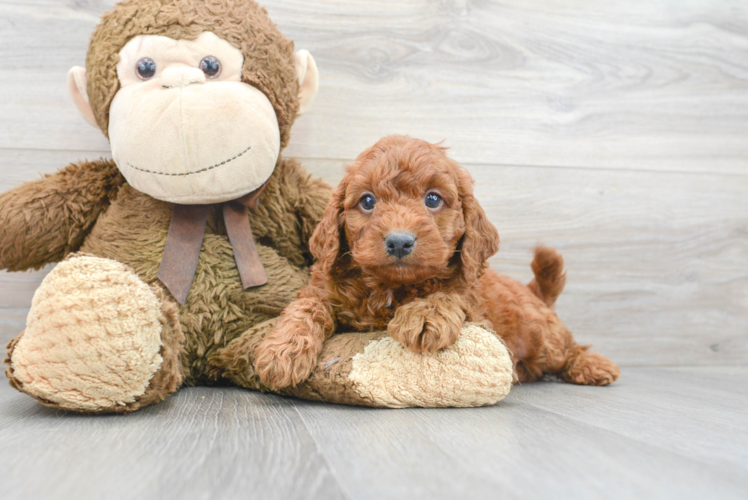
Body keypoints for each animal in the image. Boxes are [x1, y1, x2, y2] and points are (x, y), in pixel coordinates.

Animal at [258, 135, 620, 388]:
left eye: (432, 199)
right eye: (367, 201)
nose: (399, 241)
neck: (391, 288)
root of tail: (535, 293)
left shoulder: (477, 309)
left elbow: (448, 294)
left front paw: (424, 315)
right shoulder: (323, 287)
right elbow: (307, 307)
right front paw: (283, 350)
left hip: (542, 336)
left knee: (568, 349)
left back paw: (593, 366)